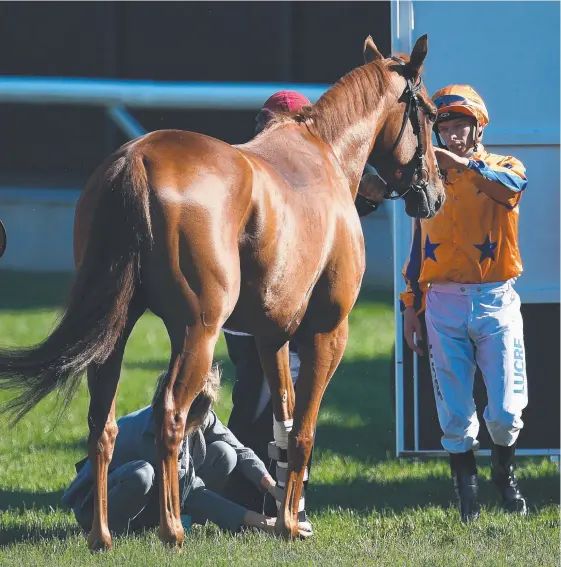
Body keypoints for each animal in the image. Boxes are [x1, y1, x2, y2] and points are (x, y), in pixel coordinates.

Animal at [0, 35, 442, 552]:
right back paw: (172, 528)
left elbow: (281, 428)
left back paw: (102, 535)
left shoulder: (273, 336)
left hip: (116, 330)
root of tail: (136, 158)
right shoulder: (328, 331)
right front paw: (290, 522)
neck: (324, 154)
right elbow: (305, 430)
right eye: (431, 112)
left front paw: (286, 517)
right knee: (171, 413)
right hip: (199, 330)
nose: (435, 193)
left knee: (102, 424)